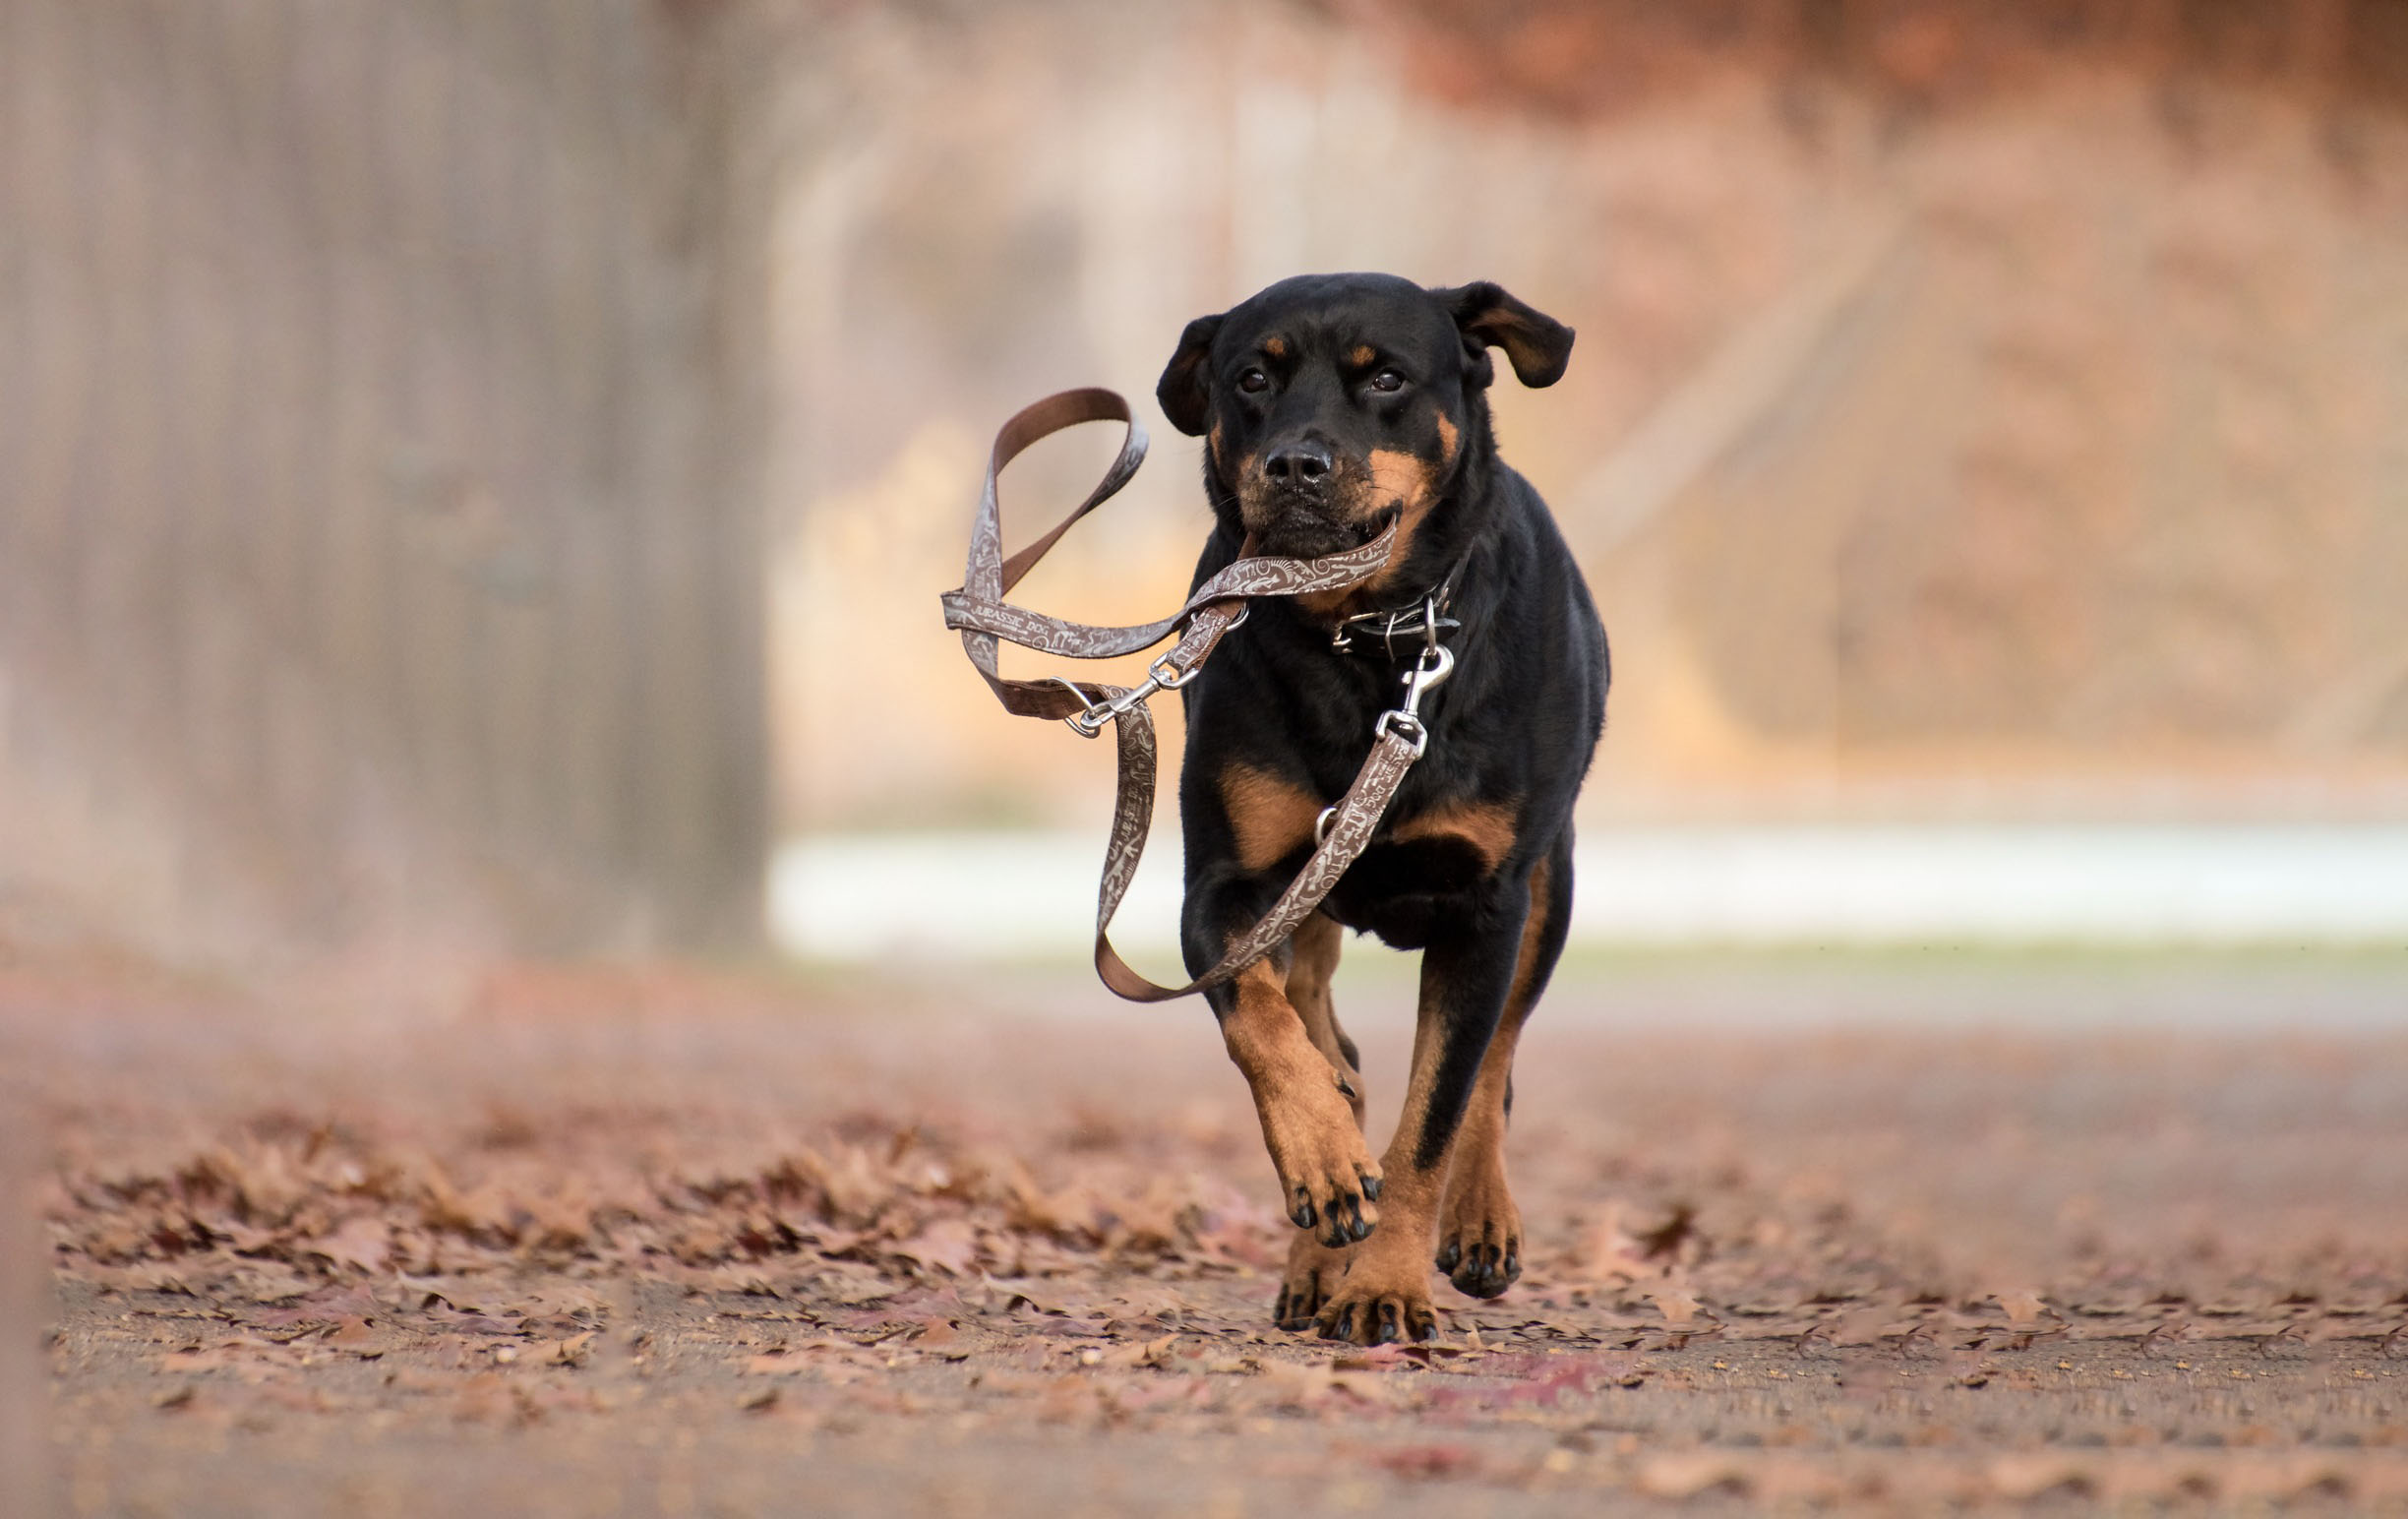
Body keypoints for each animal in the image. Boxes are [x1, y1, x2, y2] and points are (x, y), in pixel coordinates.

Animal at [1156, 271, 1608, 1338]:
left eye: (1387, 377)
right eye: (1251, 378)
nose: (1295, 461)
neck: (1368, 637)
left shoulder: (1488, 901)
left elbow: (1434, 1117)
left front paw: (1389, 1287)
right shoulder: (1224, 889)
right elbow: (1262, 1025)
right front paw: (1324, 1167)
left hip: (1550, 886)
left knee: (1492, 1065)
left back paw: (1478, 1221)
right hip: (1309, 906)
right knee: (1337, 1045)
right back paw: (1320, 1242)